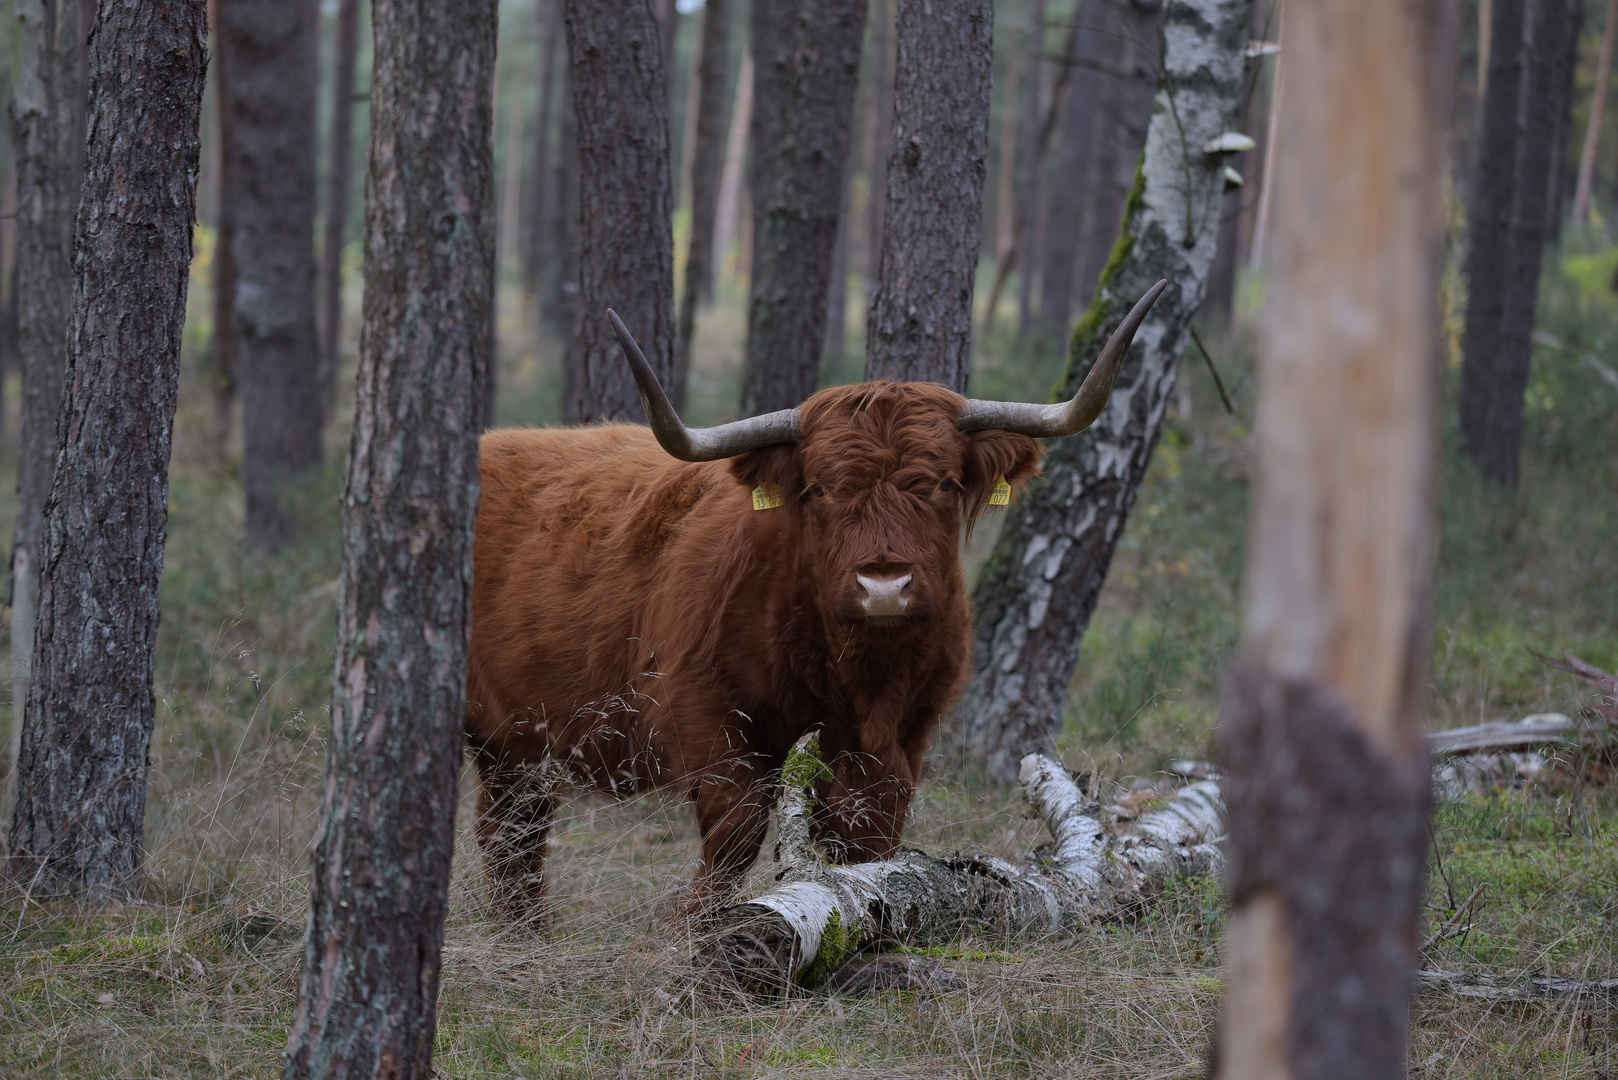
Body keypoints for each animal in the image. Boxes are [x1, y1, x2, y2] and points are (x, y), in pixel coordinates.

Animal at [465, 281, 1164, 919]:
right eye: (821, 488)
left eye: (942, 483)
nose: (884, 585)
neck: (861, 677)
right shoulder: (702, 714)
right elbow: (738, 829)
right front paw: (700, 928)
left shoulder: (904, 739)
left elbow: (869, 839)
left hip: (513, 745)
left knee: (513, 831)